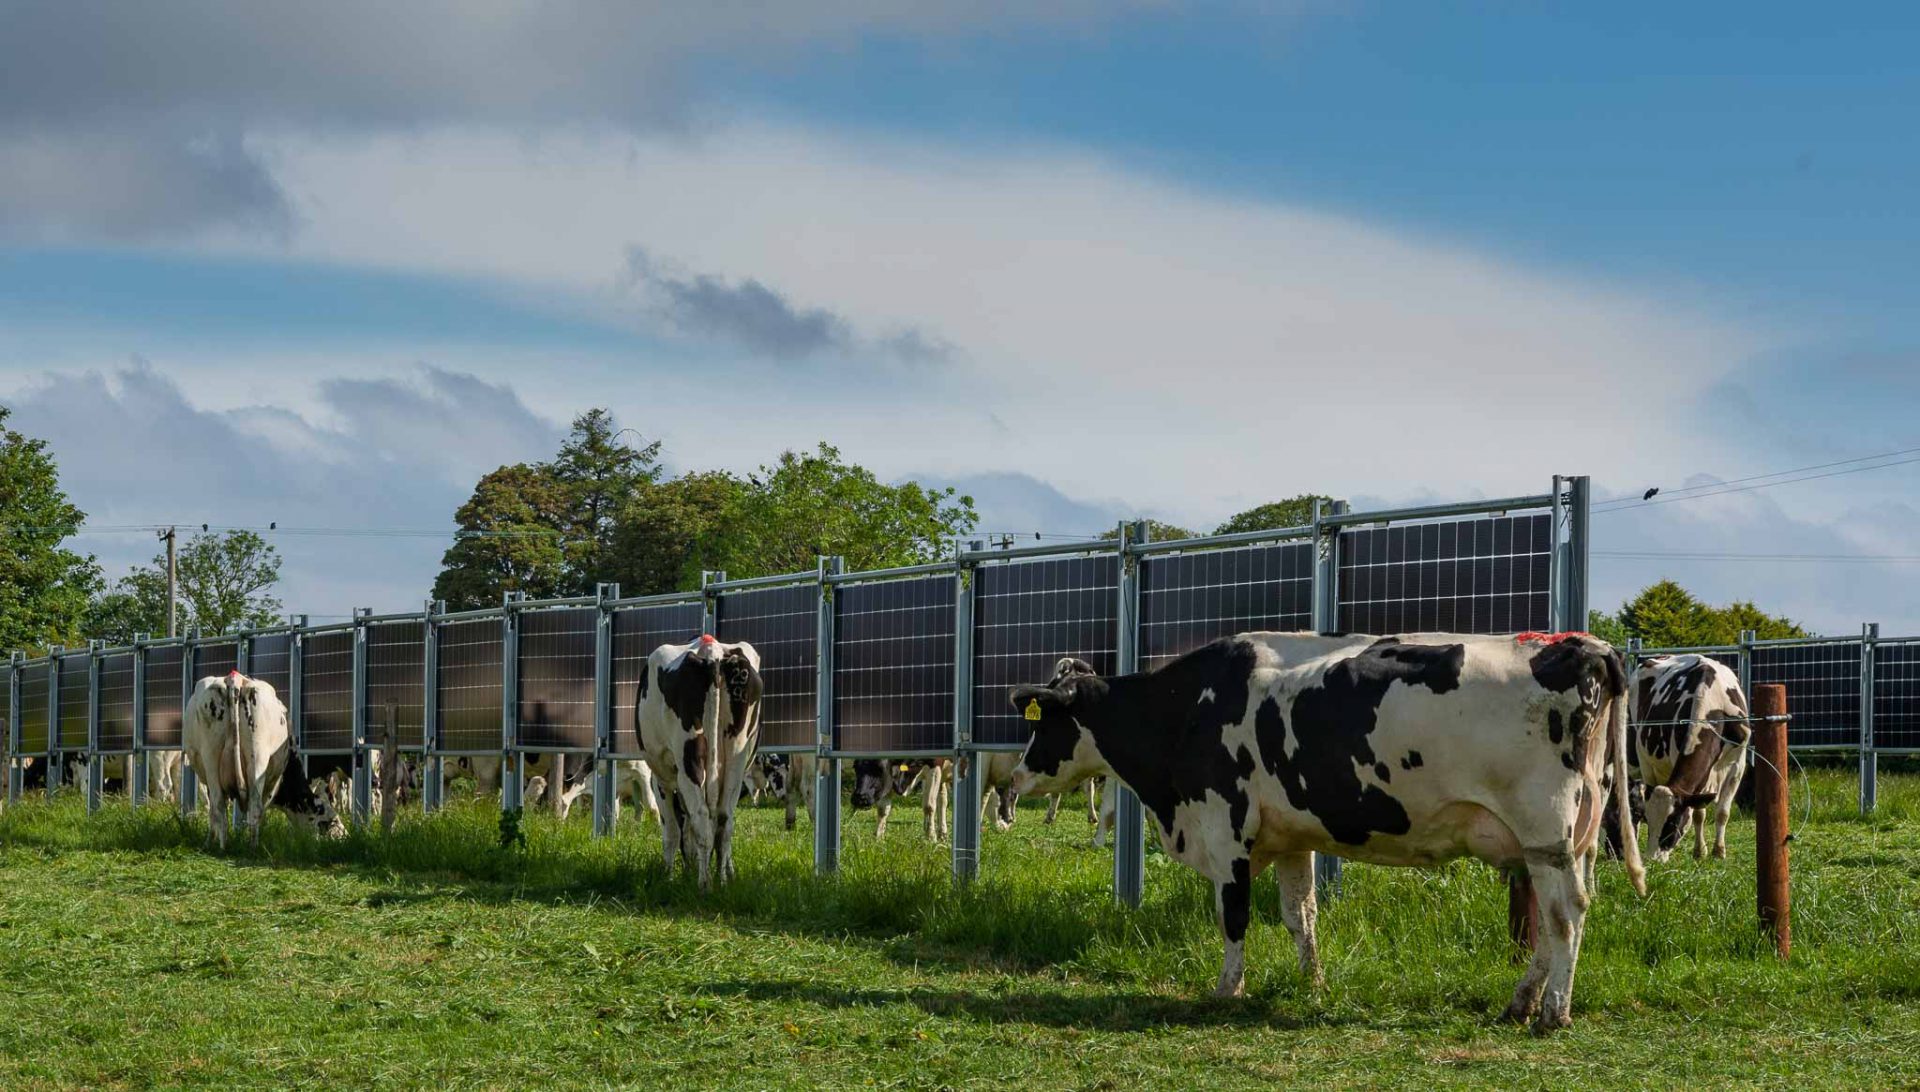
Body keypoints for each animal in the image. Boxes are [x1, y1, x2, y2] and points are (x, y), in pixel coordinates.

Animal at [181, 667, 293, 848]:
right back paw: (248, 846)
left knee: (220, 804)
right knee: (251, 805)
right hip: (256, 756)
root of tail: (234, 678)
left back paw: (223, 846)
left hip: (212, 759)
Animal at [641, 633, 768, 890]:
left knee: (701, 815)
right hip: (737, 758)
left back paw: (704, 884)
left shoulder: (662, 779)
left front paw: (668, 875)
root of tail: (713, 652)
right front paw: (729, 871)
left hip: (689, 758)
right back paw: (721, 880)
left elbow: (671, 830)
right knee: (724, 820)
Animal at [1006, 629, 1651, 1028]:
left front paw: (1227, 988)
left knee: (1565, 916)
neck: (1185, 709)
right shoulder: (1291, 838)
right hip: (1576, 836)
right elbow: (1301, 916)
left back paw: (1553, 1012)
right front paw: (1311, 982)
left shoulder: (1225, 827)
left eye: (1045, 723)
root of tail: (1583, 645)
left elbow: (1233, 915)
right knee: (1558, 918)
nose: (1014, 777)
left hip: (1546, 832)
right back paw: (1521, 1002)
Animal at [1612, 656, 1751, 859]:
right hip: (1644, 759)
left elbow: (1722, 812)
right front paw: (1700, 851)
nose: (1652, 859)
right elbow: (1698, 813)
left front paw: (1718, 852)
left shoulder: (1737, 764)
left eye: (1673, 822)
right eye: (1648, 820)